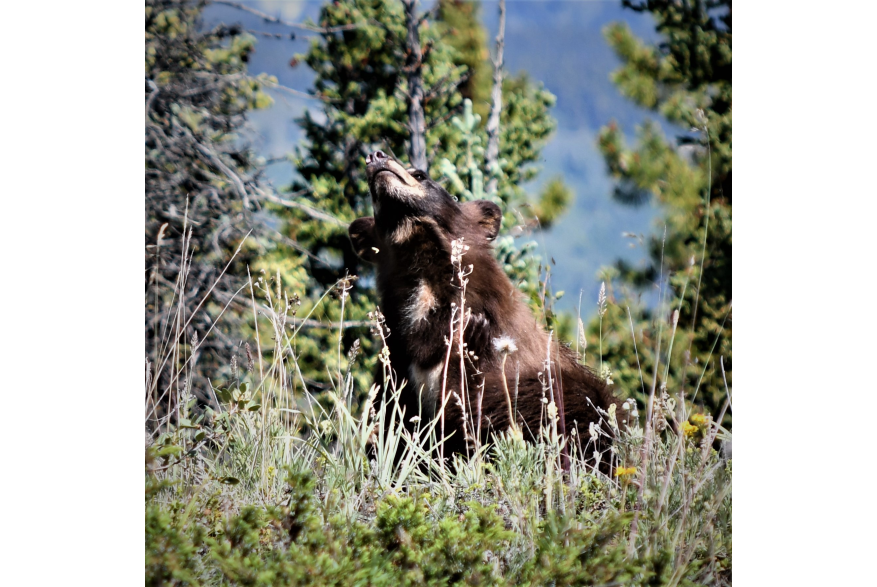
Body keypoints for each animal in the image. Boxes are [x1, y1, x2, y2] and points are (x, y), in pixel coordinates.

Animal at [346, 152, 620, 474]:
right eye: (371, 194)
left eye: (421, 174)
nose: (376, 156)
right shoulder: (397, 358)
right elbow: (392, 422)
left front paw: (470, 345)